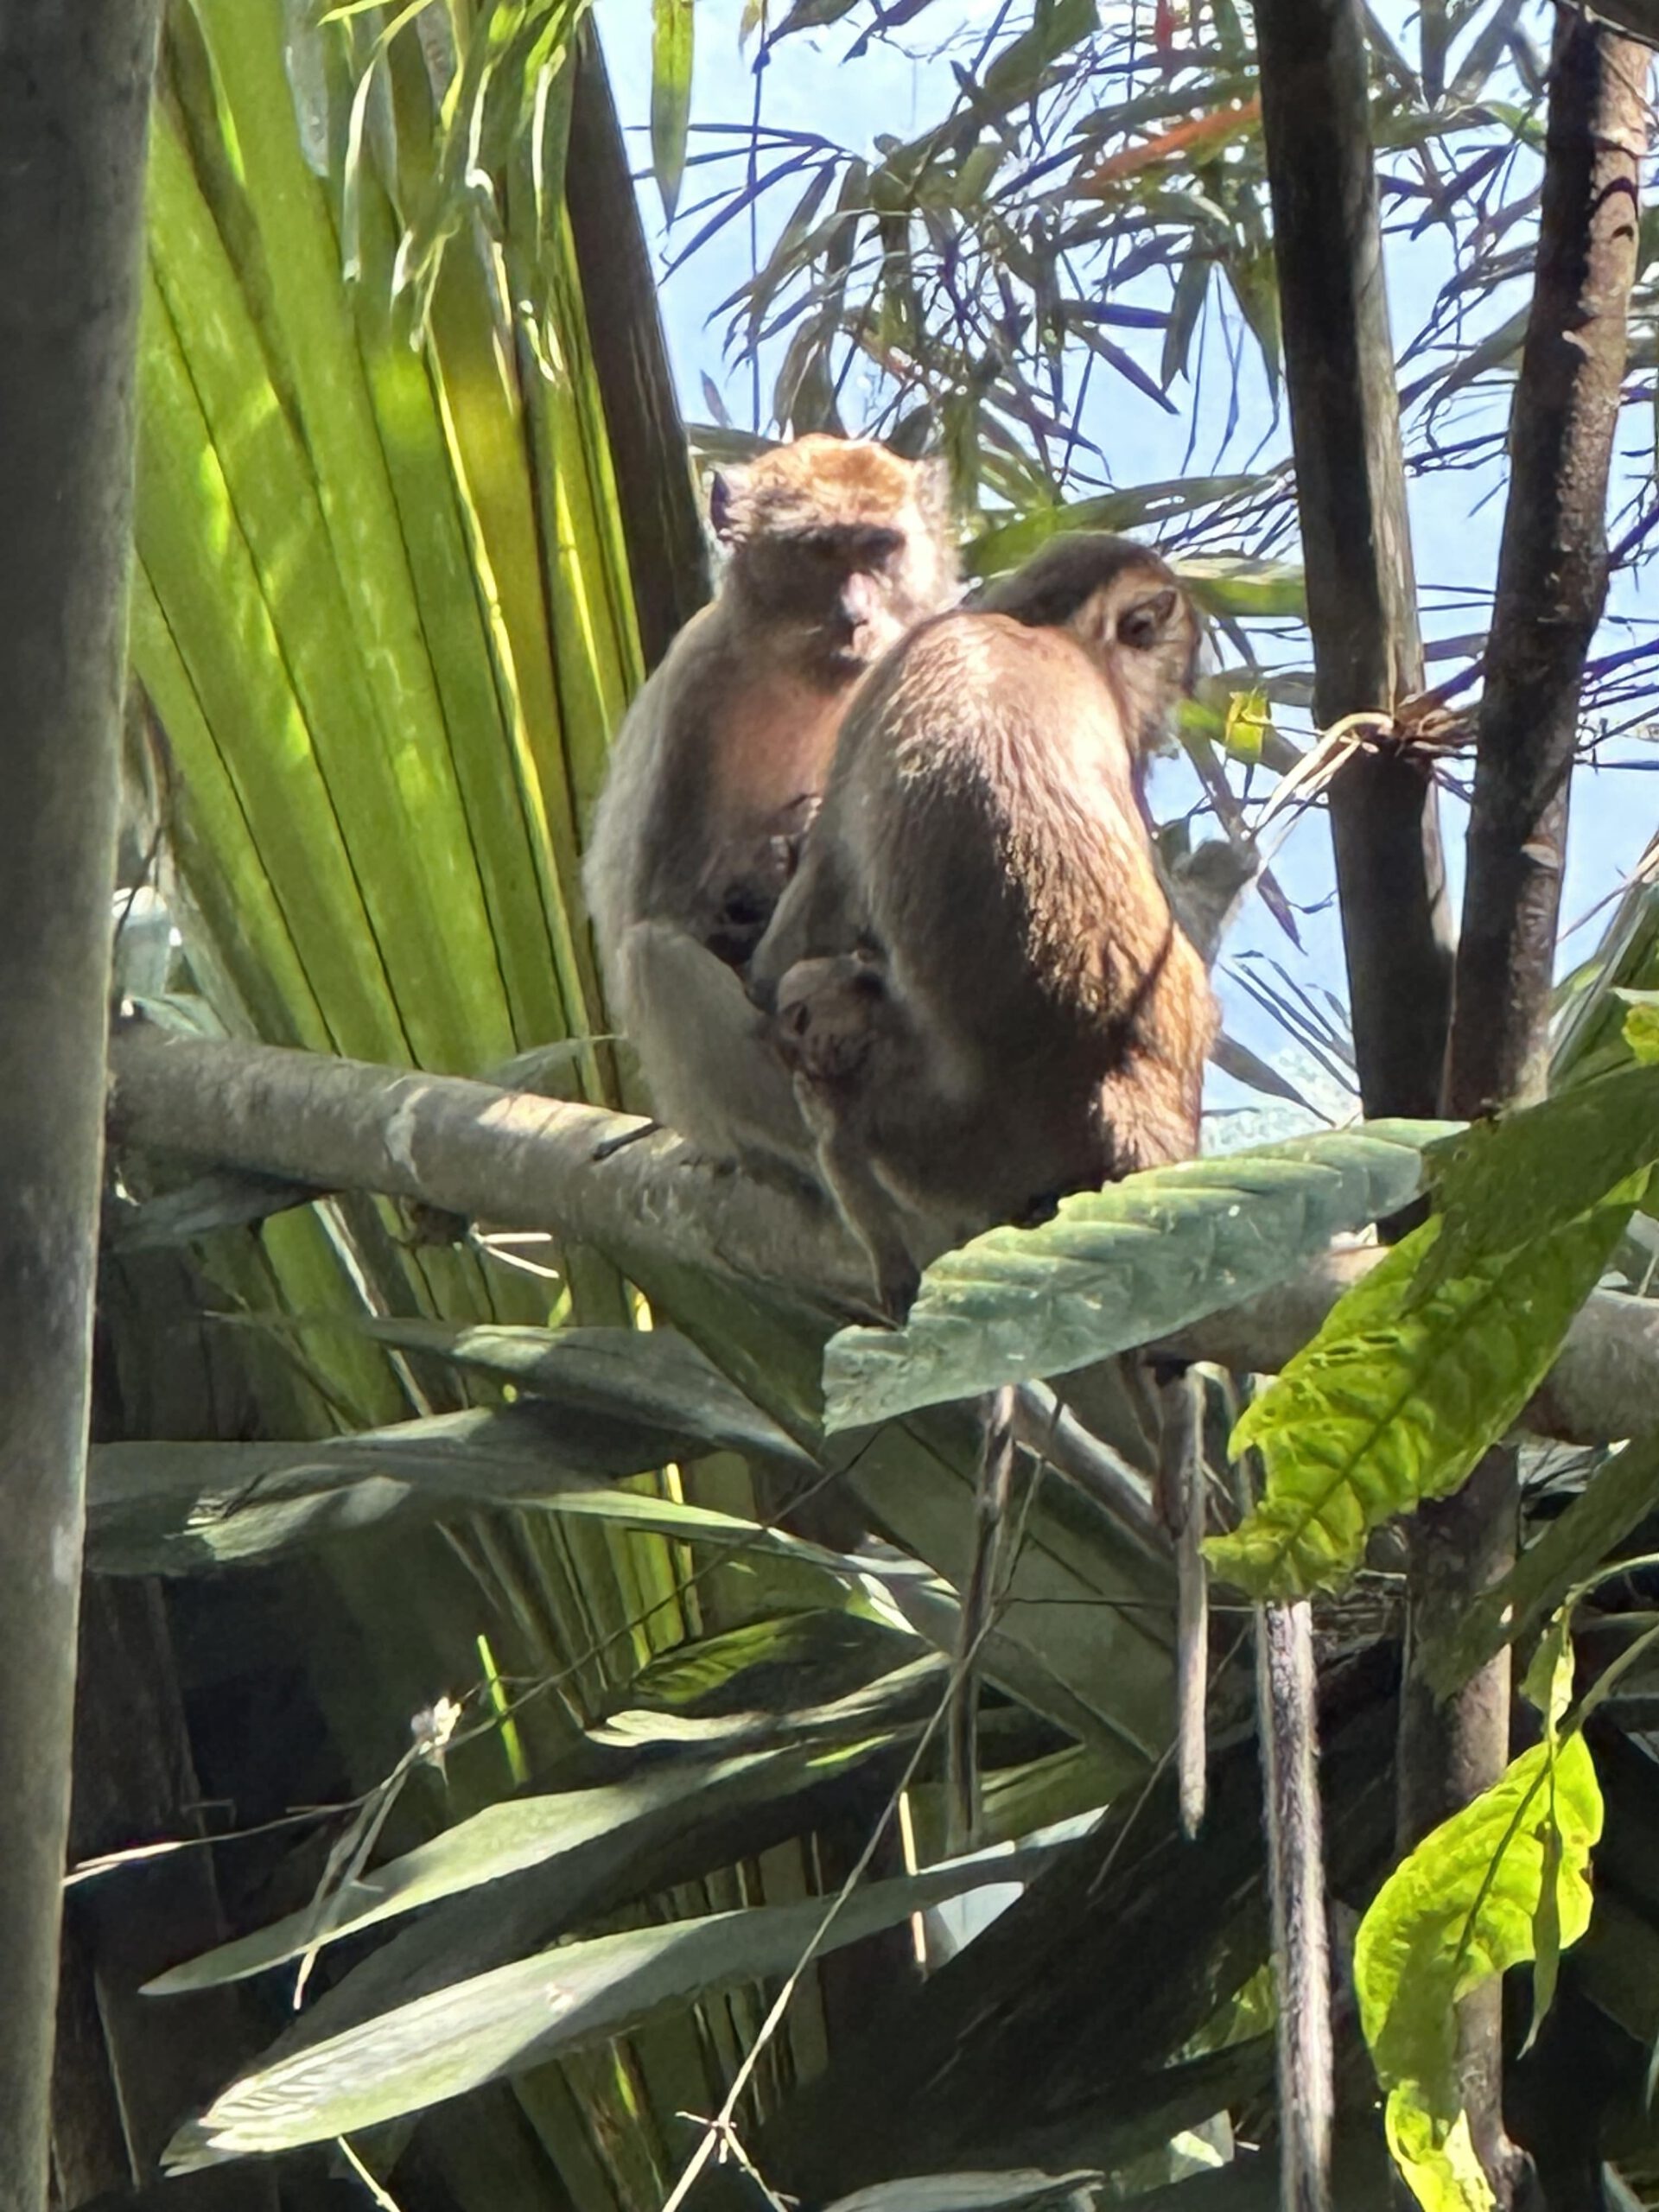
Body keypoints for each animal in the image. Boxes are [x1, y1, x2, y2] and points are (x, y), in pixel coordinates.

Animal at [579, 437, 960, 1185]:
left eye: (878, 547)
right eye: (820, 551)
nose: (856, 616)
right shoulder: (696, 695)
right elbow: (669, 911)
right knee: (655, 957)